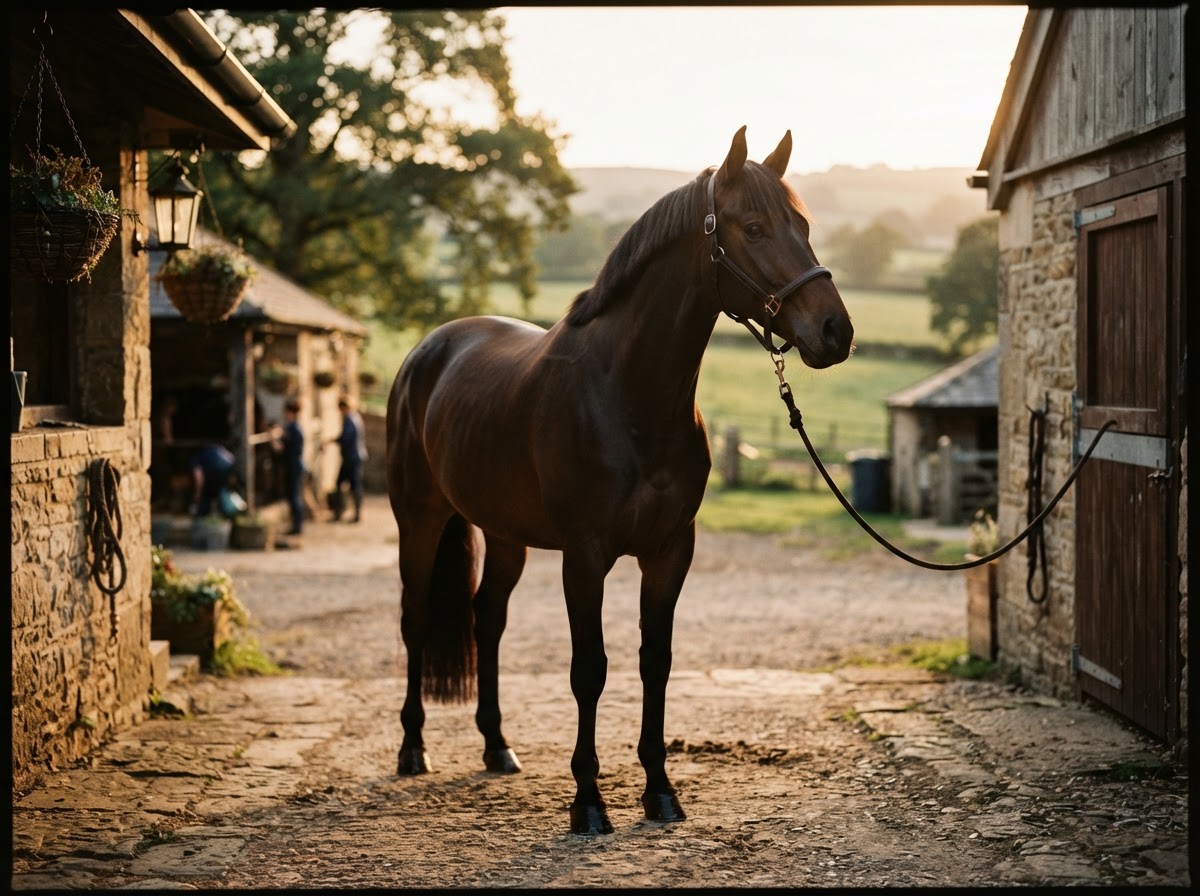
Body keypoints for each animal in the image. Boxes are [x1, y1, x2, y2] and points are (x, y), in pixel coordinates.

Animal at [385, 126, 854, 835]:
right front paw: (588, 802)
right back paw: (413, 748)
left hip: (506, 536)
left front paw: (660, 791)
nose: (836, 330)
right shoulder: (585, 557)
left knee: (486, 620)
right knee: (415, 620)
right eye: (753, 227)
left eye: (802, 224)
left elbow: (654, 663)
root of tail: (428, 350)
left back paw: (497, 746)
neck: (628, 395)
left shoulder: (669, 552)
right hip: (419, 518)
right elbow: (590, 670)